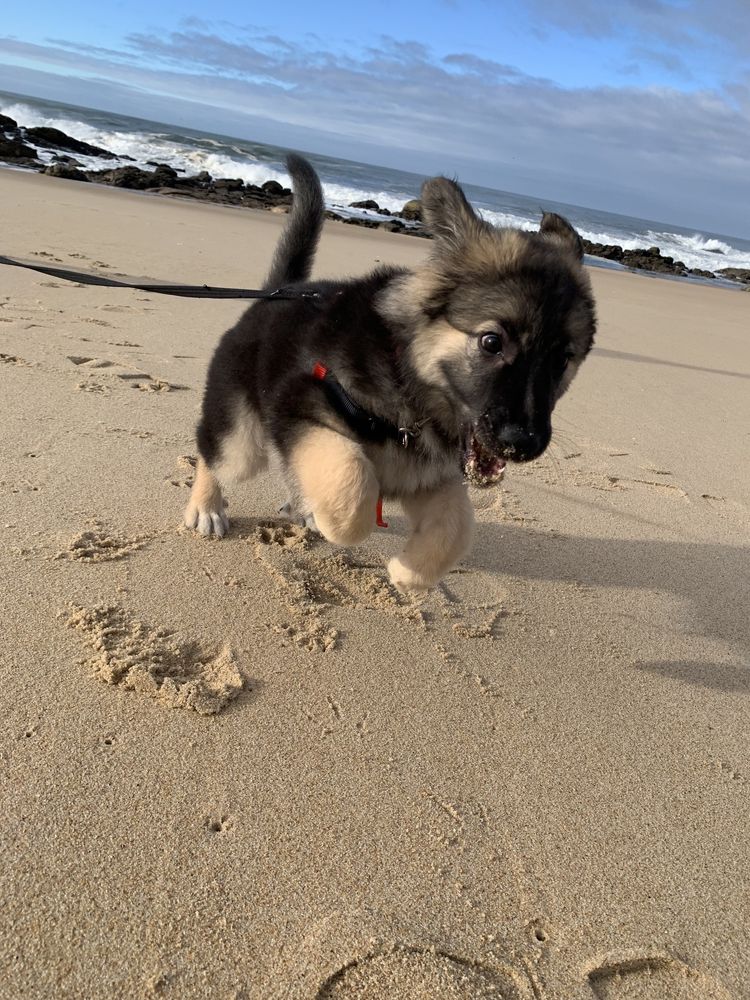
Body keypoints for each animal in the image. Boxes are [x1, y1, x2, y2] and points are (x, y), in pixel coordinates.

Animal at [185, 154, 596, 592]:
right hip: (242, 440)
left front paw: (409, 572)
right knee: (214, 455)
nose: (523, 445)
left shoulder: (427, 476)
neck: (406, 378)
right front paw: (334, 519)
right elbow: (354, 488)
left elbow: (456, 527)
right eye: (491, 342)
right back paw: (207, 507)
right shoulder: (299, 407)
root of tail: (279, 292)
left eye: (563, 360)